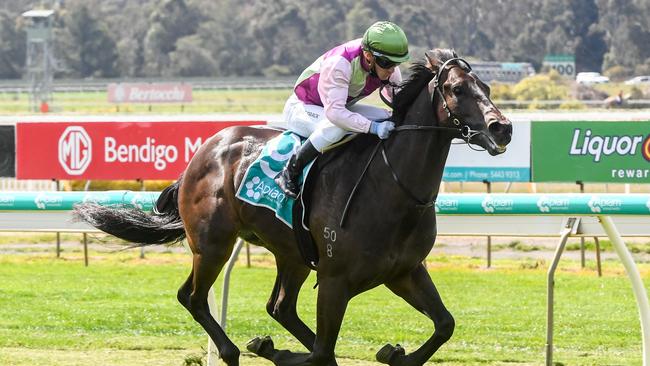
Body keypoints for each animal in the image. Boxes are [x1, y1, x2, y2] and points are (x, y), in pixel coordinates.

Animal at [76, 49, 512, 366]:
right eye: (456, 89)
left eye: (486, 85)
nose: (502, 127)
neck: (392, 187)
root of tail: (203, 152)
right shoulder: (336, 280)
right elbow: (321, 354)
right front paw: (273, 349)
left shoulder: (404, 270)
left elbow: (444, 325)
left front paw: (394, 353)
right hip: (213, 244)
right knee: (194, 298)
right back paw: (234, 351)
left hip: (293, 254)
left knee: (280, 307)